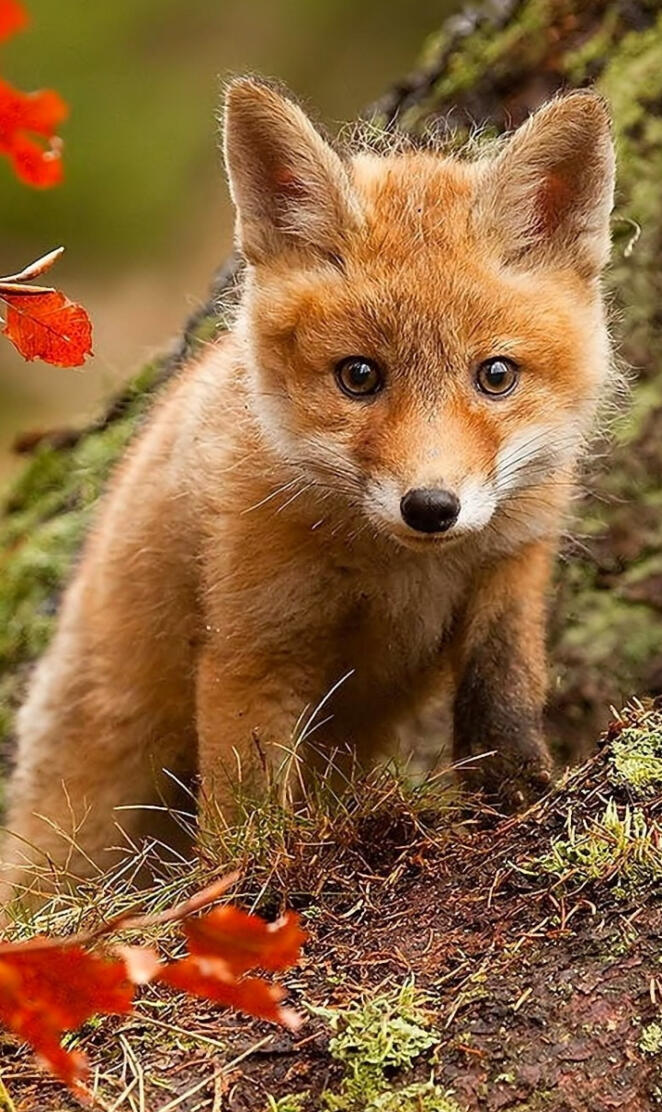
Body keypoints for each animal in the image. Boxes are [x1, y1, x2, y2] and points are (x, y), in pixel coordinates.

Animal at [1, 79, 615, 901]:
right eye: (358, 376)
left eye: (496, 376)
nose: (430, 508)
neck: (402, 572)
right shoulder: (255, 642)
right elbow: (246, 800)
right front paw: (244, 885)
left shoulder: (511, 571)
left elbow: (503, 701)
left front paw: (520, 800)